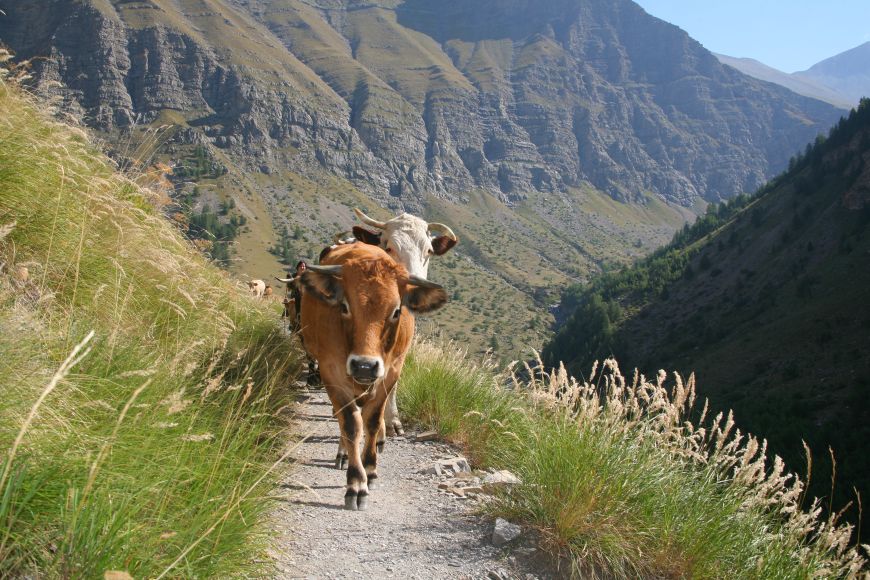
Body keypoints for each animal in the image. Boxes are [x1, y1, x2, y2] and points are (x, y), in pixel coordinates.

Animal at [298, 242, 447, 510]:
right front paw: (356, 483)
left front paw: (370, 469)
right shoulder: (331, 371)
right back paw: (344, 454)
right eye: (345, 306)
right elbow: (350, 425)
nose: (364, 366)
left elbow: (373, 422)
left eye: (396, 311)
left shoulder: (391, 372)